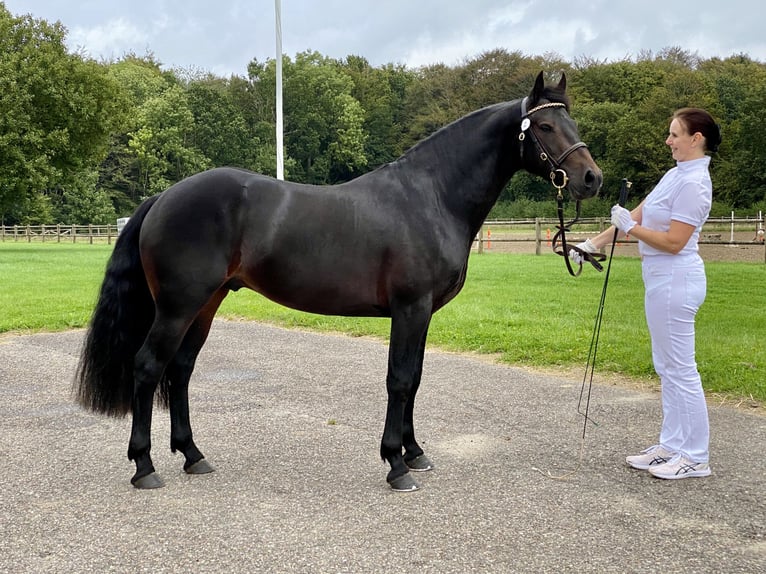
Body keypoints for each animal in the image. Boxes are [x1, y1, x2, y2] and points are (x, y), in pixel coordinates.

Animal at [78, 72, 608, 492]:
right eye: (544, 126)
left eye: (573, 124)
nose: (591, 179)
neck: (431, 197)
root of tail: (164, 196)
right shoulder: (410, 308)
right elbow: (399, 379)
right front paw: (396, 464)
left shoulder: (423, 314)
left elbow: (415, 379)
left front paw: (415, 452)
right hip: (178, 306)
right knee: (148, 367)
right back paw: (145, 467)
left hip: (205, 305)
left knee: (181, 370)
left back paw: (193, 456)